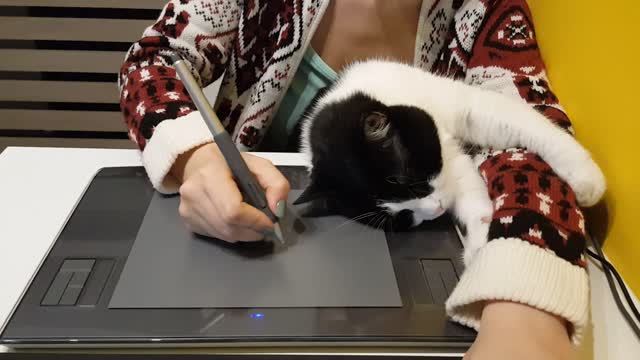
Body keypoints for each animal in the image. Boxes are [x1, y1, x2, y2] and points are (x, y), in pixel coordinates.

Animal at [296, 60, 604, 266]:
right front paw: (480, 245)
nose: (436, 210)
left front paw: (586, 178)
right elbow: (468, 196)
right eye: (401, 217)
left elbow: (522, 123)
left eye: (414, 184)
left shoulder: (463, 109)